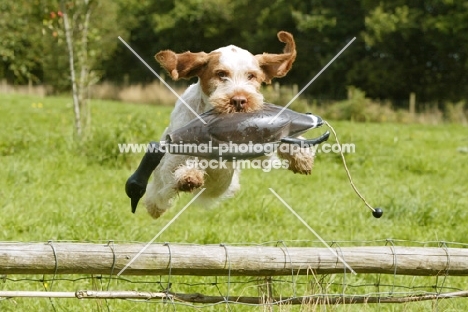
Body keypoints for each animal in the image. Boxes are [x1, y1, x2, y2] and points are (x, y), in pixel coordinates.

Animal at [144, 30, 312, 218]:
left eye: (251, 76)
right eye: (221, 74)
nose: (239, 100)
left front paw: (301, 156)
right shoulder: (174, 156)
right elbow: (180, 164)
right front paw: (189, 174)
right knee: (157, 193)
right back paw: (155, 206)